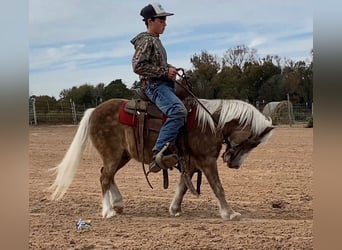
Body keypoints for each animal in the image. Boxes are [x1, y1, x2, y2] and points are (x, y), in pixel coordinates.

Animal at [49, 97, 272, 221]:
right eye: (253, 142)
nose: (234, 164)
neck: (210, 122)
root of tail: (93, 111)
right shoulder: (206, 160)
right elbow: (218, 187)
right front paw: (230, 213)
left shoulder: (190, 163)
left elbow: (183, 186)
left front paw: (175, 209)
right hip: (112, 154)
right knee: (105, 177)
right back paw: (108, 211)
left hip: (123, 156)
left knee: (107, 175)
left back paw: (118, 204)